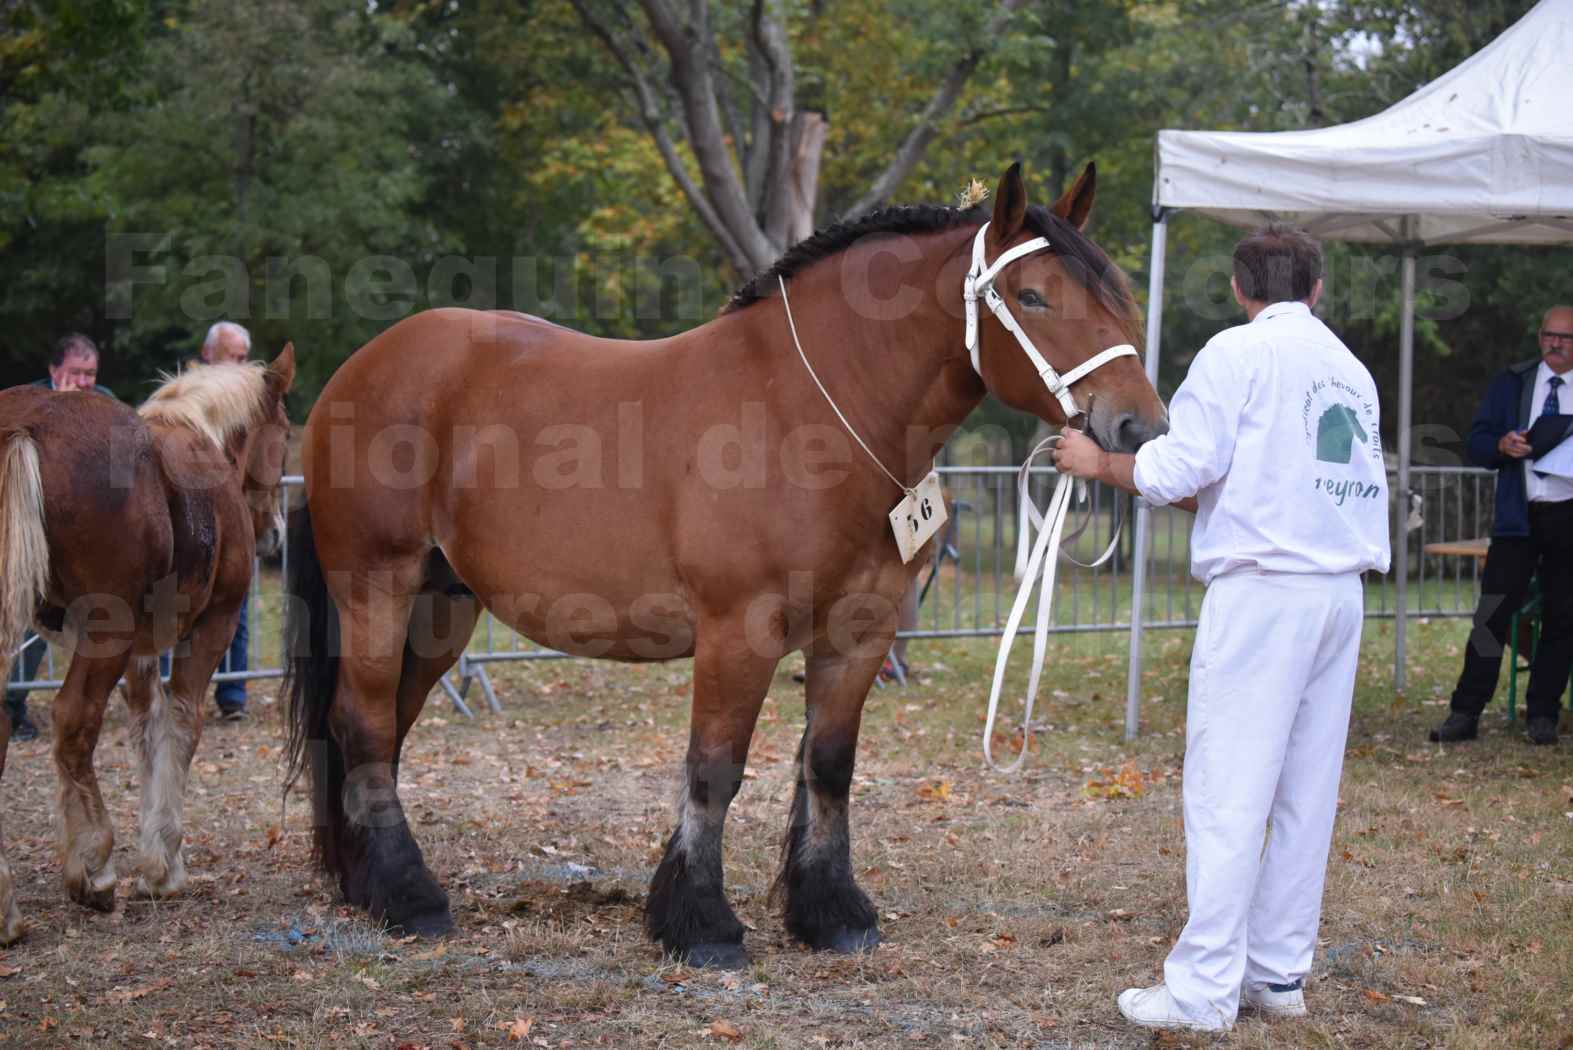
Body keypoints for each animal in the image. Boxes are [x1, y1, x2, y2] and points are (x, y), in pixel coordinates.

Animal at [0, 345, 295, 943]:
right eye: (286, 432)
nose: (276, 534)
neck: (200, 435)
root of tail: (27, 424)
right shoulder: (212, 626)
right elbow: (181, 723)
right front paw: (162, 864)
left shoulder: (139, 649)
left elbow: (145, 728)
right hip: (104, 634)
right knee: (74, 721)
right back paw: (93, 865)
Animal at [283, 165, 1170, 968]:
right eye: (1032, 297)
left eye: (1117, 295)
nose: (1140, 426)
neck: (811, 414)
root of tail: (360, 369)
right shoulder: (736, 632)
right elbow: (714, 771)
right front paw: (700, 924)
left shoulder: (859, 632)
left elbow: (829, 766)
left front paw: (830, 913)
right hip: (376, 584)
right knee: (365, 723)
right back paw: (410, 899)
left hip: (443, 605)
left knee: (385, 726)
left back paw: (366, 882)